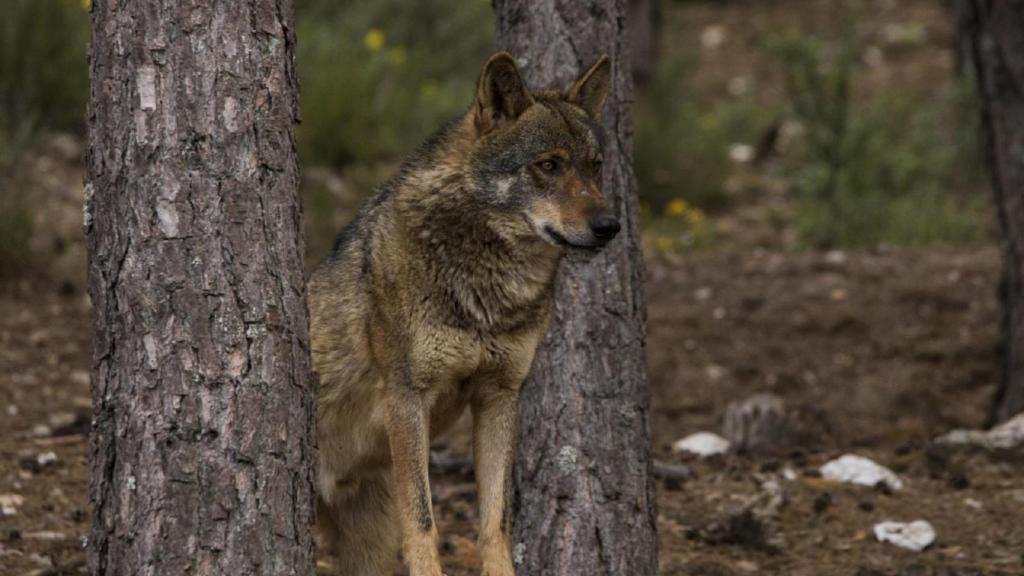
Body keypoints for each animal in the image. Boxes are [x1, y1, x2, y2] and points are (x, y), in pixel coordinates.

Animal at [309, 52, 619, 576]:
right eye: (548, 165)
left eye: (595, 167)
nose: (609, 226)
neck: (490, 291)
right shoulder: (406, 397)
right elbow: (424, 523)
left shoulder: (500, 395)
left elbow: (495, 524)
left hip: (367, 547)